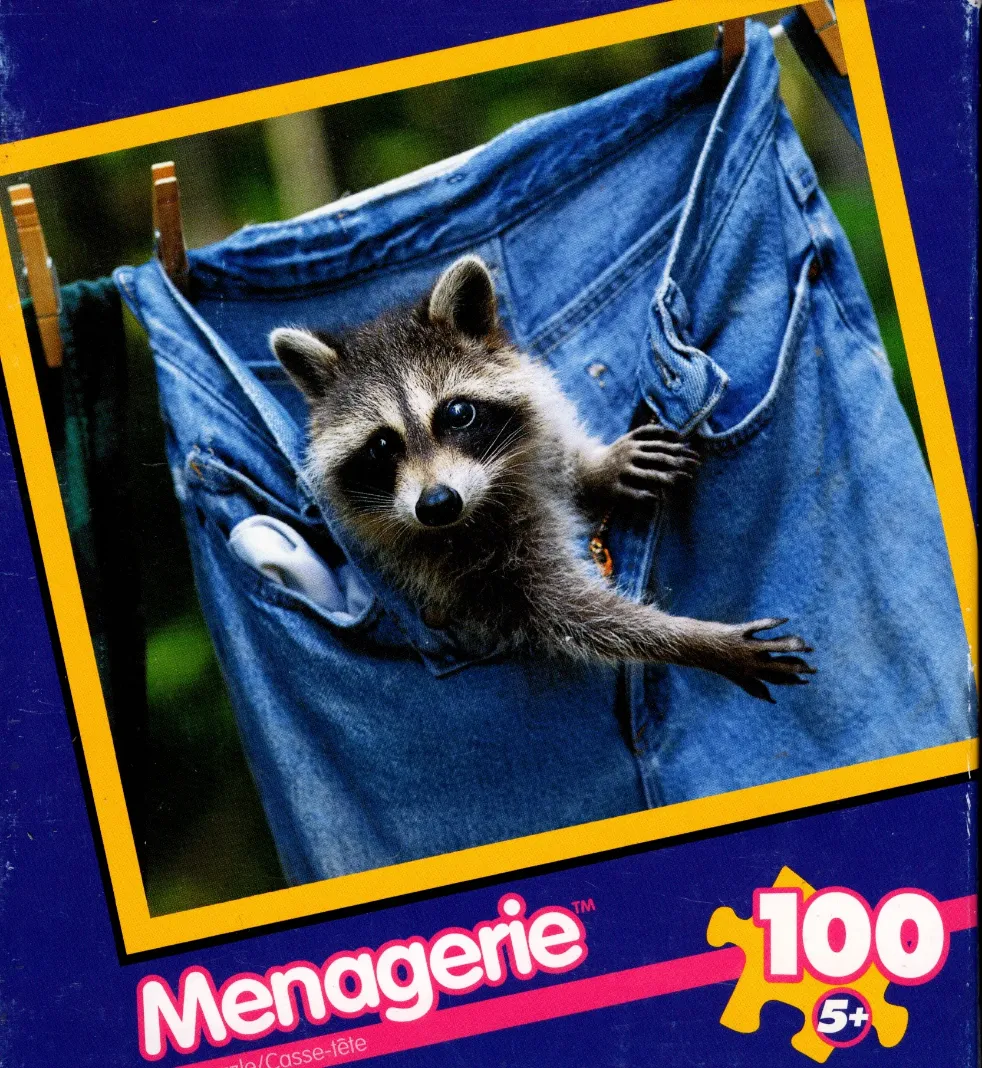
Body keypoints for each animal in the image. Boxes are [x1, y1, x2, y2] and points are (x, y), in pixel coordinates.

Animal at [270, 255, 814, 701]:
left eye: (457, 413)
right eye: (382, 446)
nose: (438, 503)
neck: (485, 494)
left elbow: (559, 461)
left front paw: (598, 468)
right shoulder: (466, 567)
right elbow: (575, 615)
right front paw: (696, 641)